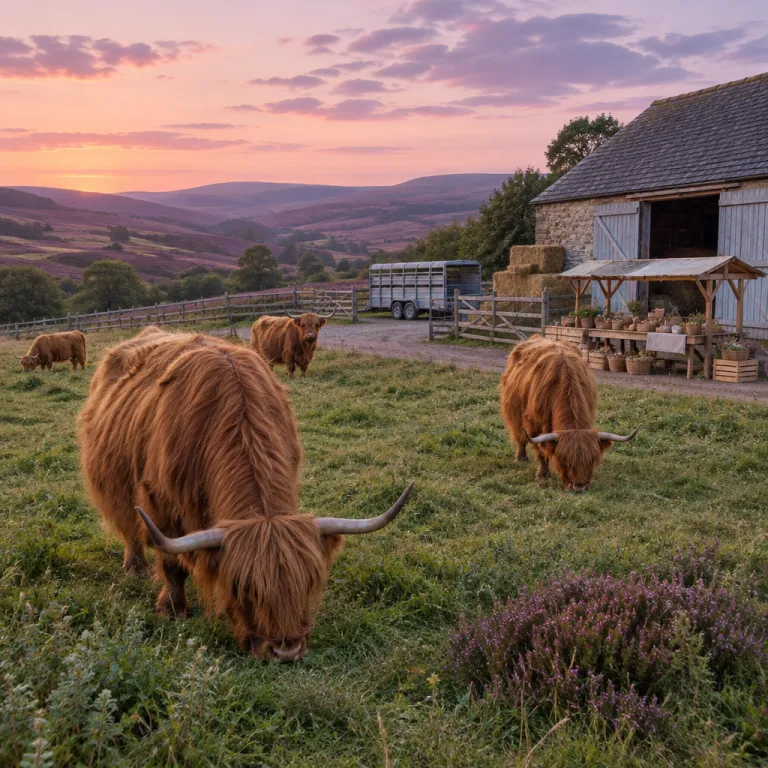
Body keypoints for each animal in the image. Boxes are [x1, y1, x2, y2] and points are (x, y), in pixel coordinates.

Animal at [78, 326, 412, 662]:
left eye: (309, 581)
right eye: (244, 586)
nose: (286, 650)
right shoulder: (161, 506)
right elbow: (173, 564)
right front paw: (171, 609)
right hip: (115, 485)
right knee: (131, 529)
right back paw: (136, 569)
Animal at [500, 336, 639, 492]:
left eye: (592, 459)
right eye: (564, 459)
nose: (579, 486)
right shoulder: (534, 424)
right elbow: (541, 450)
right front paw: (542, 475)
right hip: (513, 411)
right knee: (519, 434)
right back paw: (521, 457)